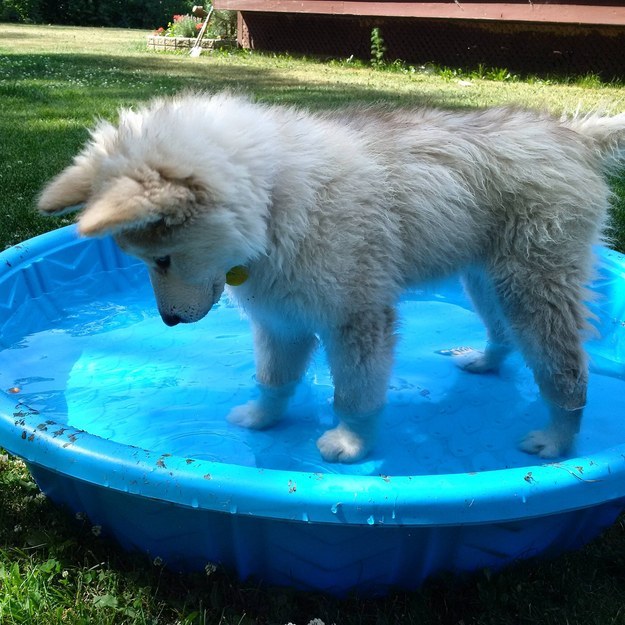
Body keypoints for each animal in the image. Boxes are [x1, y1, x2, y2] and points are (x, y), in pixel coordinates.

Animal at [36, 94, 624, 464]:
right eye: (145, 262)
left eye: (161, 260)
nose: (168, 322)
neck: (276, 199)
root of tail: (572, 135)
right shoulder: (280, 318)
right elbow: (274, 378)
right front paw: (262, 418)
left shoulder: (356, 318)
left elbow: (356, 394)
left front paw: (349, 443)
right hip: (484, 277)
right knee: (501, 331)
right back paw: (483, 362)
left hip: (534, 282)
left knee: (565, 366)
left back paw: (558, 438)